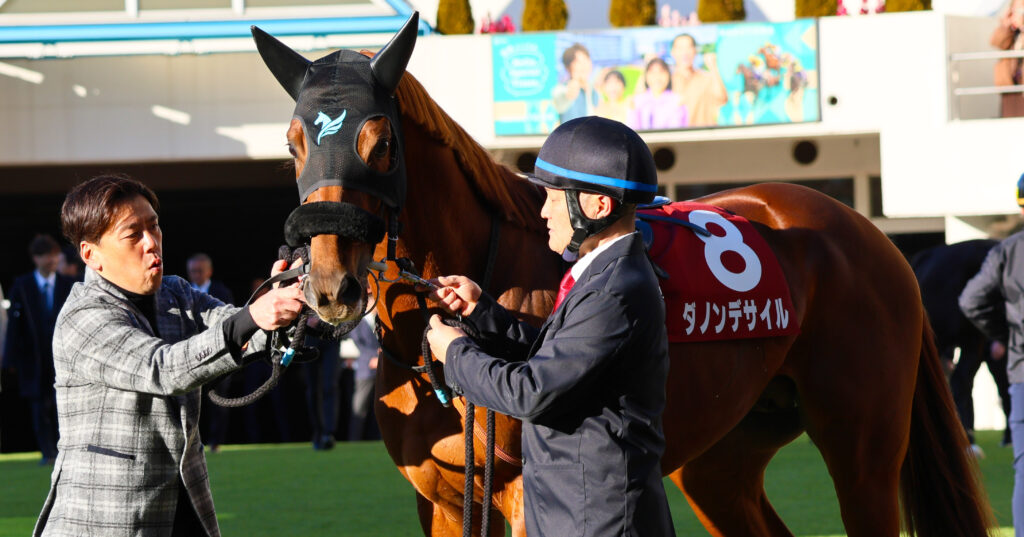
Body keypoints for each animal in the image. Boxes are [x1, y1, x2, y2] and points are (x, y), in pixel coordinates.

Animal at [251, 14, 994, 536]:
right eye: (293, 143)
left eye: (381, 143)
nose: (330, 285)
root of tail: (868, 234)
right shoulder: (440, 501)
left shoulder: (521, 494)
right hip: (721, 461)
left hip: (865, 450)